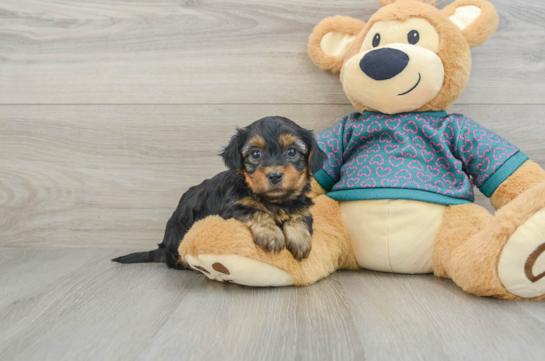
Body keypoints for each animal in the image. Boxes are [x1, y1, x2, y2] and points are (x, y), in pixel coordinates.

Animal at [112, 115, 326, 268]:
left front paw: (300, 241)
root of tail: (164, 245)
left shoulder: (301, 205)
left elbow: (300, 218)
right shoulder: (234, 206)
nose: (274, 175)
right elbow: (257, 211)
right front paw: (271, 235)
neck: (274, 200)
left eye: (292, 152)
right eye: (256, 154)